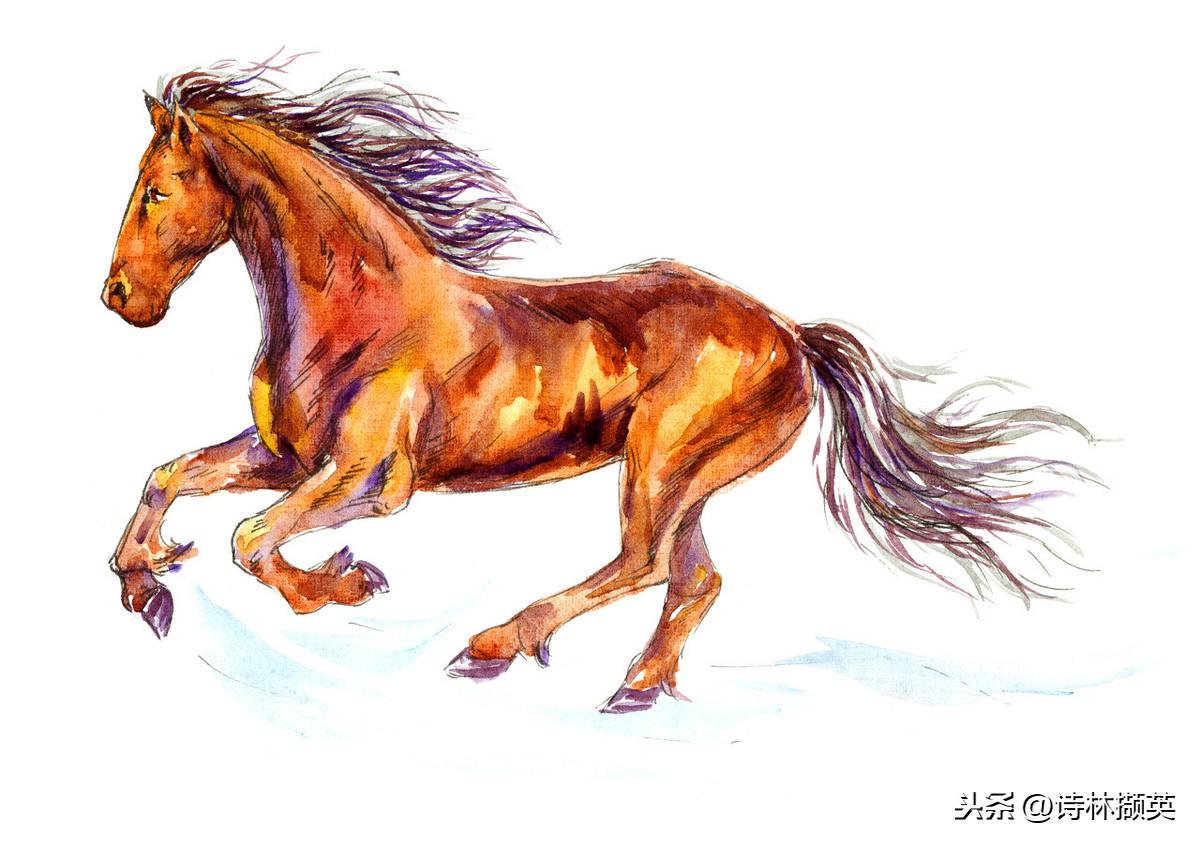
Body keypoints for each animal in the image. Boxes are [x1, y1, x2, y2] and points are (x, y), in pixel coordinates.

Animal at [102, 57, 1092, 713]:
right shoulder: (282, 456)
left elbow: (252, 539)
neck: (359, 308)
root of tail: (792, 335)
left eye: (155, 190)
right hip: (691, 478)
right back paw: (637, 687)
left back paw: (497, 644)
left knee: (645, 562)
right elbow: (171, 478)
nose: (116, 297)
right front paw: (144, 583)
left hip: (659, 461)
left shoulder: (372, 482)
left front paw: (343, 584)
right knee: (693, 579)